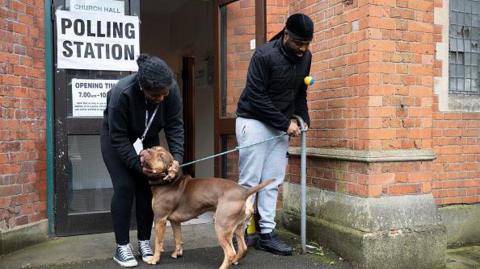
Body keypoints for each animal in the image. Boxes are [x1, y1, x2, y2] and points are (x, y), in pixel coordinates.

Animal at [141, 147, 272, 268]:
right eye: (154, 148)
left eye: (161, 157)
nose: (147, 150)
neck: (169, 181)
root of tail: (244, 192)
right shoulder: (175, 221)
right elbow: (178, 238)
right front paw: (176, 253)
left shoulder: (159, 219)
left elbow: (158, 242)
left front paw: (155, 259)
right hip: (238, 227)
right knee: (242, 248)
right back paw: (235, 260)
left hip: (221, 227)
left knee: (230, 253)